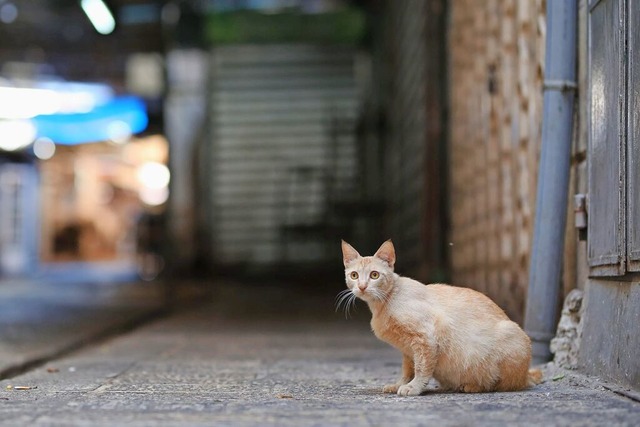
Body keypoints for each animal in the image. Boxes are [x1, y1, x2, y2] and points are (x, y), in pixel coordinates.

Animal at [340, 239, 540, 396]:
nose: (362, 287)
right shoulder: (408, 350)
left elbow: (421, 368)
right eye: (354, 275)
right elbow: (407, 370)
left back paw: (473, 386)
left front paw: (413, 387)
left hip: (511, 336)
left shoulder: (425, 337)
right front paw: (400, 384)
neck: (384, 303)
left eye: (374, 275)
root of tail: (526, 374)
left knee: (504, 384)